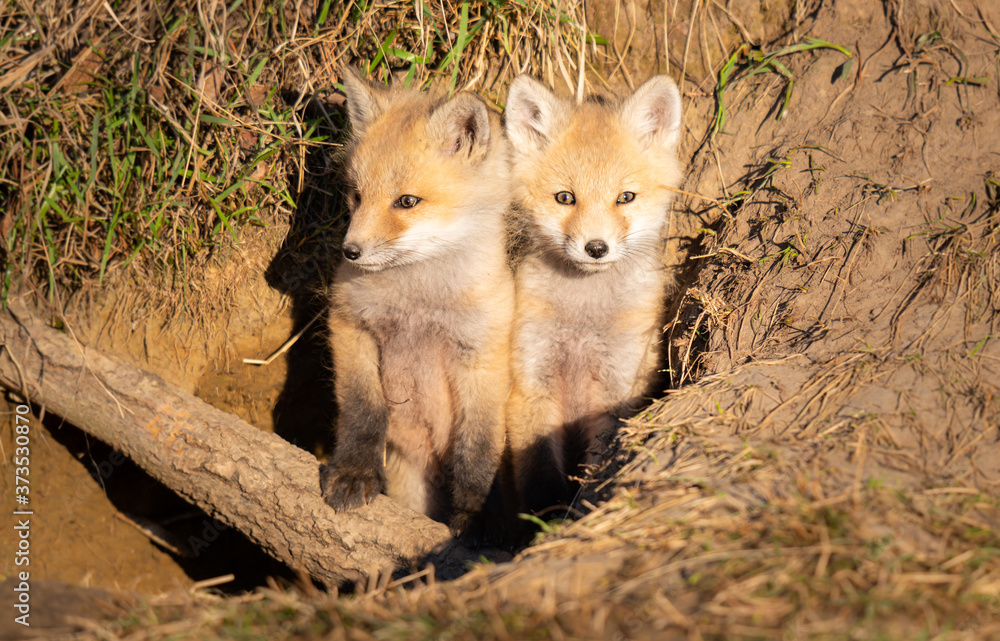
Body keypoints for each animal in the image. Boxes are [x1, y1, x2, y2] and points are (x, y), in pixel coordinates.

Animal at [319, 70, 514, 538]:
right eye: (356, 196)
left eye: (406, 202)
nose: (349, 252)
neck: (418, 304)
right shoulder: (349, 324)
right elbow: (363, 411)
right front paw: (354, 472)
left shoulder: (483, 354)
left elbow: (479, 450)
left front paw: (476, 520)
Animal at [503, 74, 684, 520]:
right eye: (565, 198)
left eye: (625, 197)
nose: (596, 248)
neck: (582, 325)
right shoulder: (531, 383)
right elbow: (539, 475)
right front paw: (543, 523)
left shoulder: (616, 394)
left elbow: (598, 467)